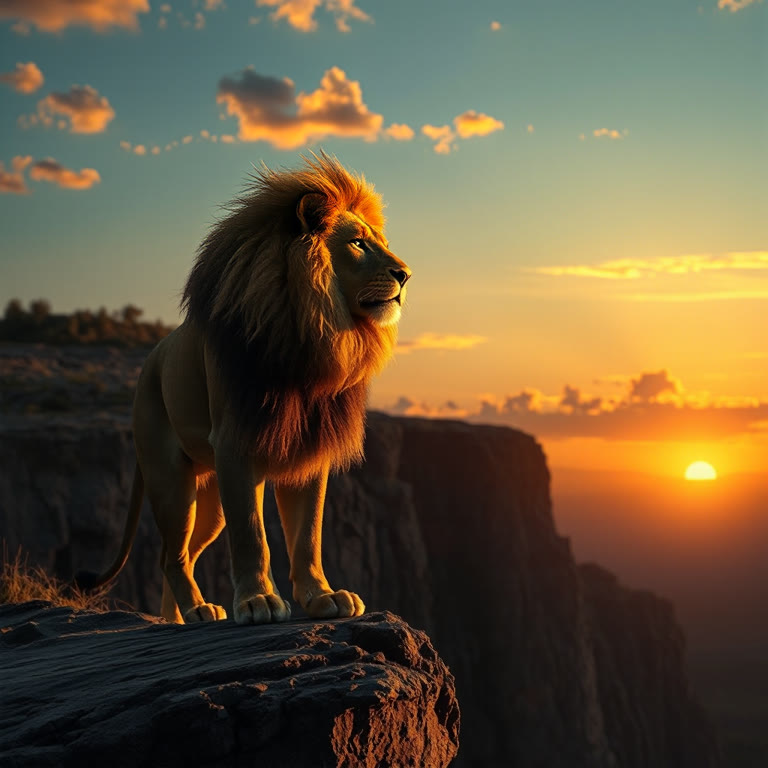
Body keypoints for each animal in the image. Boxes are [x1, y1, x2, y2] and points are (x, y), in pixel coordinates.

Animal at [81, 153, 411, 624]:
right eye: (359, 244)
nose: (405, 274)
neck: (310, 332)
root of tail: (150, 361)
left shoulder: (310, 448)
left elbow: (307, 536)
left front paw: (322, 597)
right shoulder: (237, 442)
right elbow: (253, 537)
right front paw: (258, 602)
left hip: (210, 500)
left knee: (176, 553)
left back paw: (178, 619)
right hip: (171, 478)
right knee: (173, 554)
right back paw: (197, 609)